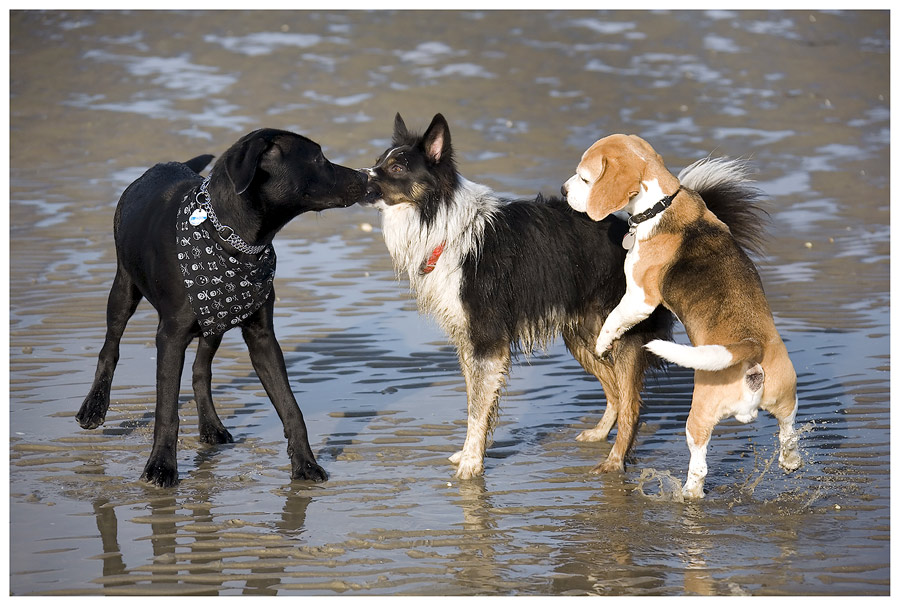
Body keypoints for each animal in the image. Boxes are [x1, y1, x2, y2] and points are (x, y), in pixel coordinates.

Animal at [77, 129, 366, 490]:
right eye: (317, 158)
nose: (366, 177)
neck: (231, 237)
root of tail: (162, 165)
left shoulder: (262, 337)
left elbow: (291, 407)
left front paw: (306, 464)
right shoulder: (170, 336)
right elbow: (167, 410)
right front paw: (160, 467)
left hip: (214, 320)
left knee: (201, 370)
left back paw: (211, 426)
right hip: (124, 286)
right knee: (110, 346)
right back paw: (93, 407)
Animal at [362, 116, 764, 482]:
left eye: (397, 167)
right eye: (380, 160)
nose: (361, 179)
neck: (442, 221)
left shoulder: (486, 341)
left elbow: (477, 408)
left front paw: (471, 465)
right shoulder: (468, 341)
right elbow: (479, 404)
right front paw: (470, 454)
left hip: (623, 333)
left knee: (632, 405)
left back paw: (615, 462)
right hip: (587, 337)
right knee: (616, 394)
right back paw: (599, 435)